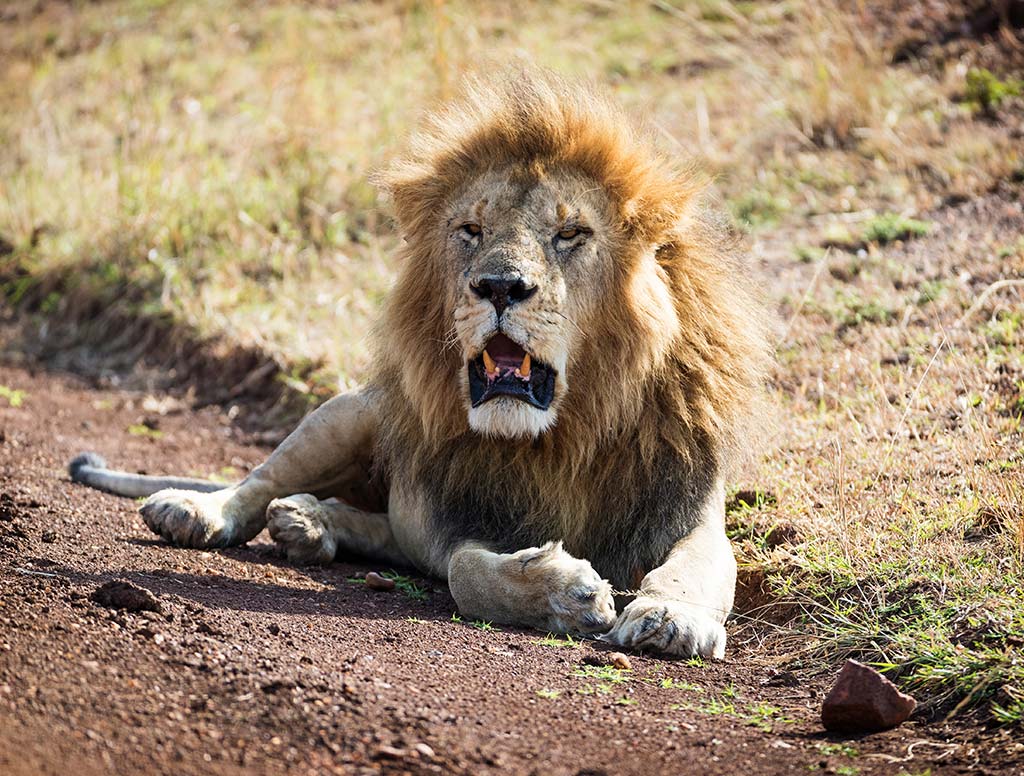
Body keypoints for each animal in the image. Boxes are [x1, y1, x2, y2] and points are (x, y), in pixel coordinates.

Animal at [69, 71, 772, 658]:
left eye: (570, 235)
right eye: (470, 230)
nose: (499, 287)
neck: (564, 435)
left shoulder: (687, 507)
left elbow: (694, 566)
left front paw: (669, 618)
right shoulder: (461, 517)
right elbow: (467, 572)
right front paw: (569, 593)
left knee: (381, 529)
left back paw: (308, 523)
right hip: (347, 414)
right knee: (263, 481)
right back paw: (201, 511)